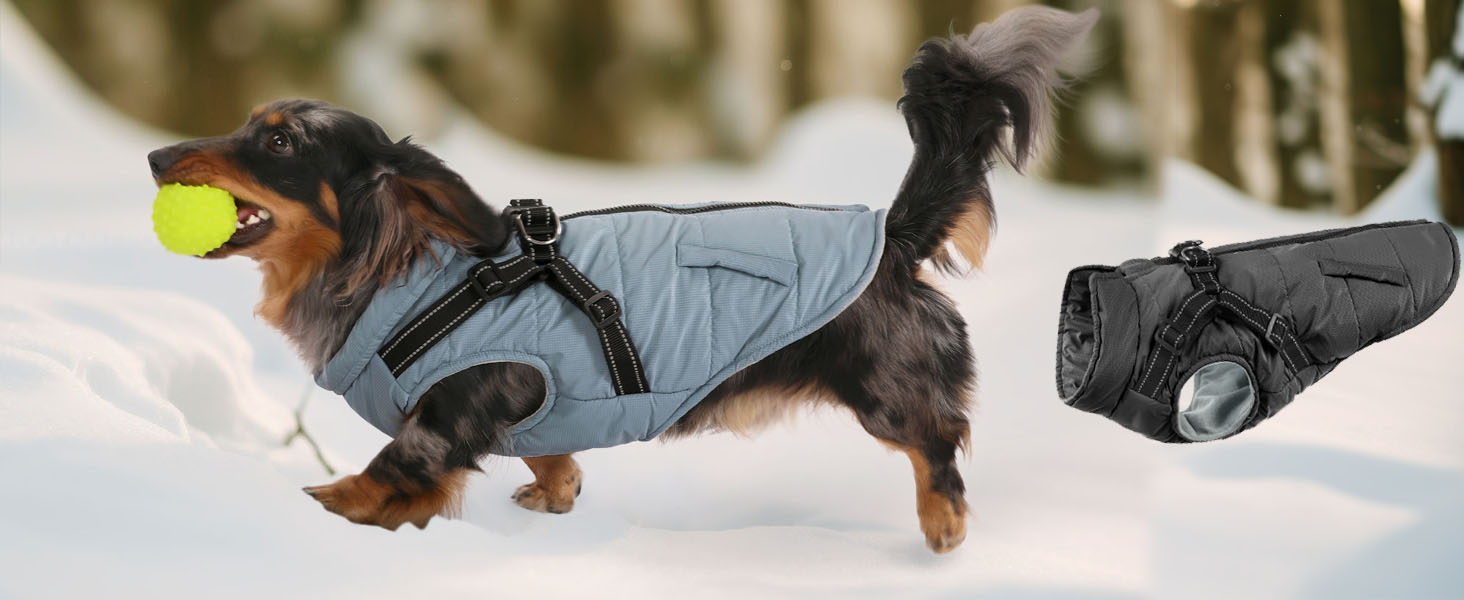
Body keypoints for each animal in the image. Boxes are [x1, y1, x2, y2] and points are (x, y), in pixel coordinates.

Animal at [148, 7, 1095, 550]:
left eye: (278, 140)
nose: (157, 157)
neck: (404, 274)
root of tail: (890, 237)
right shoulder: (544, 400)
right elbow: (553, 458)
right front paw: (553, 496)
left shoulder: (457, 402)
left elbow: (390, 469)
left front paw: (323, 506)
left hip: (885, 391)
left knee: (938, 441)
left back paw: (944, 524)